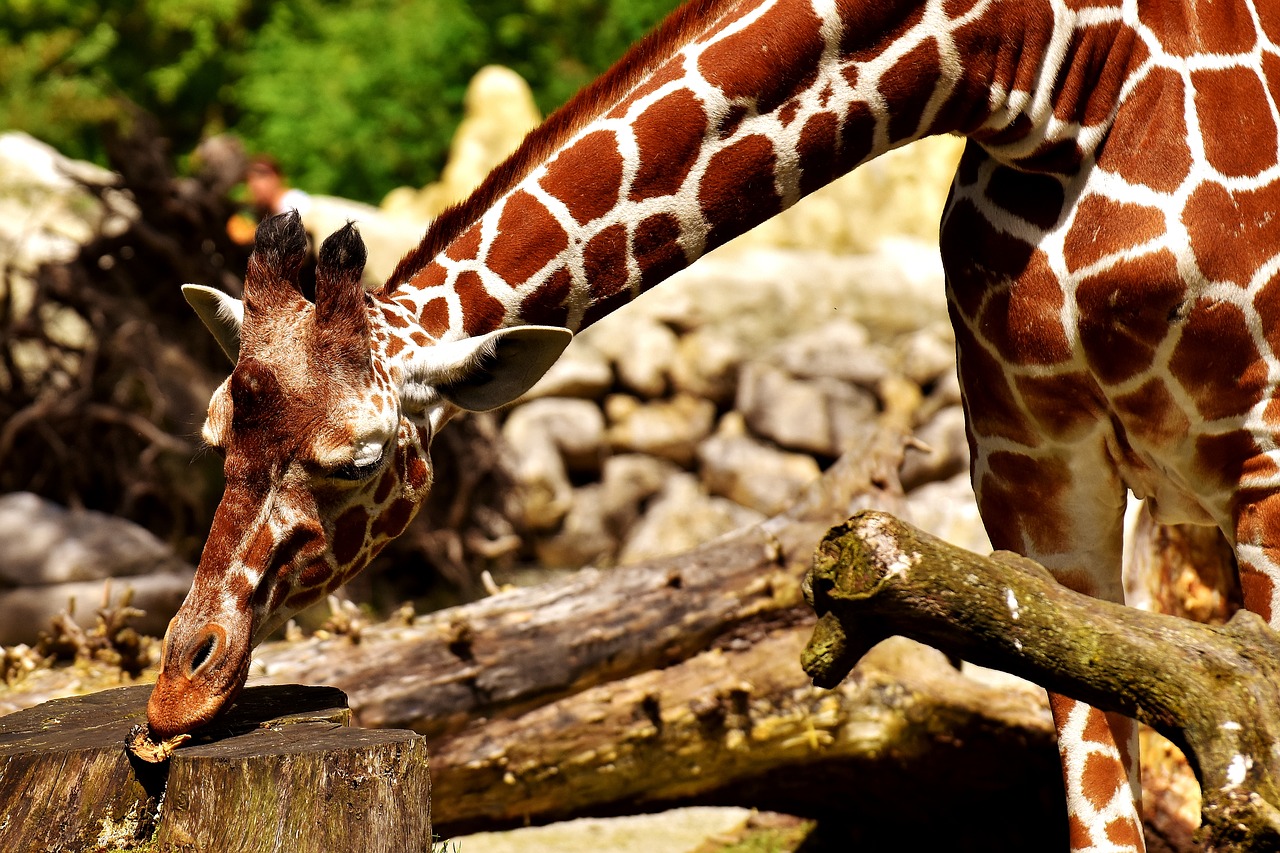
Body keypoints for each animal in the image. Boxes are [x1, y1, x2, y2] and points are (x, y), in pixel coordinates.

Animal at [149, 0, 1280, 845]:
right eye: (215, 429)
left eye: (360, 459)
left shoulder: (1265, 462)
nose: (173, 693)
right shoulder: (1035, 486)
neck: (1055, 77)